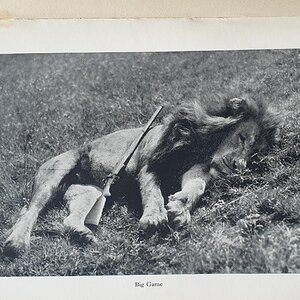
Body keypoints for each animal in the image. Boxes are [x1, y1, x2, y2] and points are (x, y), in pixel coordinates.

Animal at [2, 97, 278, 256]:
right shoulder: (148, 164)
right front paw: (154, 217)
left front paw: (179, 209)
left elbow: (195, 188)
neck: (202, 146)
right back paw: (16, 243)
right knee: (31, 211)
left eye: (254, 154)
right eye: (242, 138)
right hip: (55, 173)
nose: (239, 166)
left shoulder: (196, 170)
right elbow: (152, 192)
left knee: (69, 220)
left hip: (88, 192)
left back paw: (82, 234)